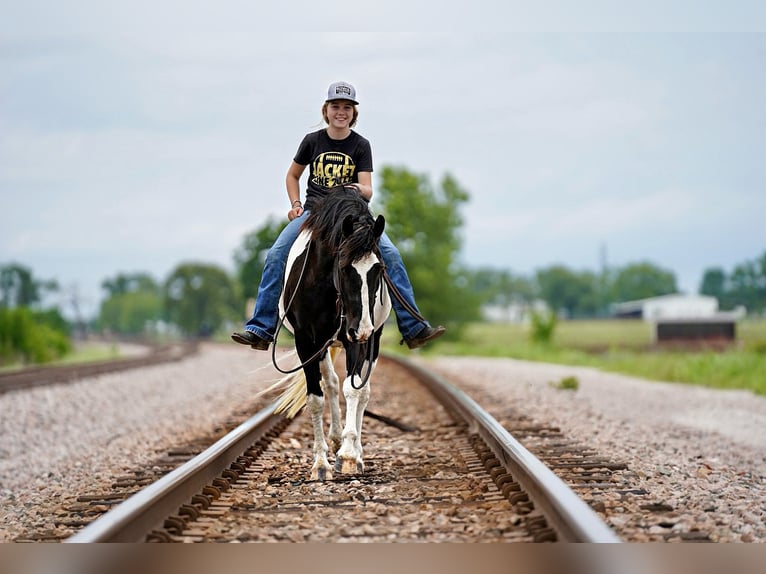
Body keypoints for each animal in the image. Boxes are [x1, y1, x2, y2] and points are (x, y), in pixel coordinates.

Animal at [272, 188, 390, 482]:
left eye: (379, 269)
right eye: (345, 267)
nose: (362, 328)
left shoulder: (355, 340)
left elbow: (353, 389)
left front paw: (347, 456)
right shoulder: (306, 341)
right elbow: (316, 398)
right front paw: (320, 463)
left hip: (373, 340)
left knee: (363, 390)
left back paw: (355, 451)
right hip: (326, 343)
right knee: (332, 384)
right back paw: (336, 439)